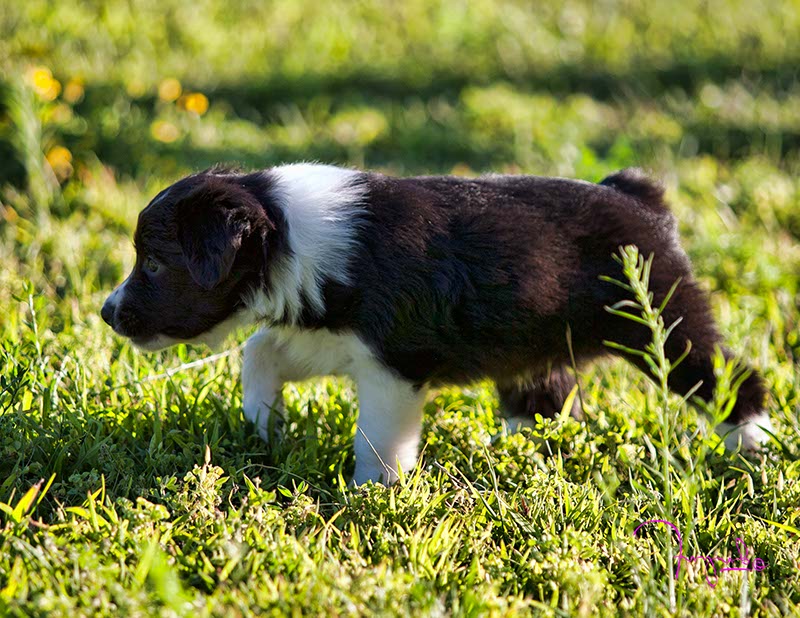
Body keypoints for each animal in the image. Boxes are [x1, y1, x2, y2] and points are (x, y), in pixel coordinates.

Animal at [102, 164, 773, 484]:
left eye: (154, 263)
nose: (108, 313)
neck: (289, 230)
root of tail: (637, 195)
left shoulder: (394, 363)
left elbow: (378, 439)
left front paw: (374, 495)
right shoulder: (337, 335)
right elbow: (260, 349)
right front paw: (263, 426)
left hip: (665, 322)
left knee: (729, 376)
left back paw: (751, 446)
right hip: (539, 342)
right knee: (544, 398)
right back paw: (515, 452)